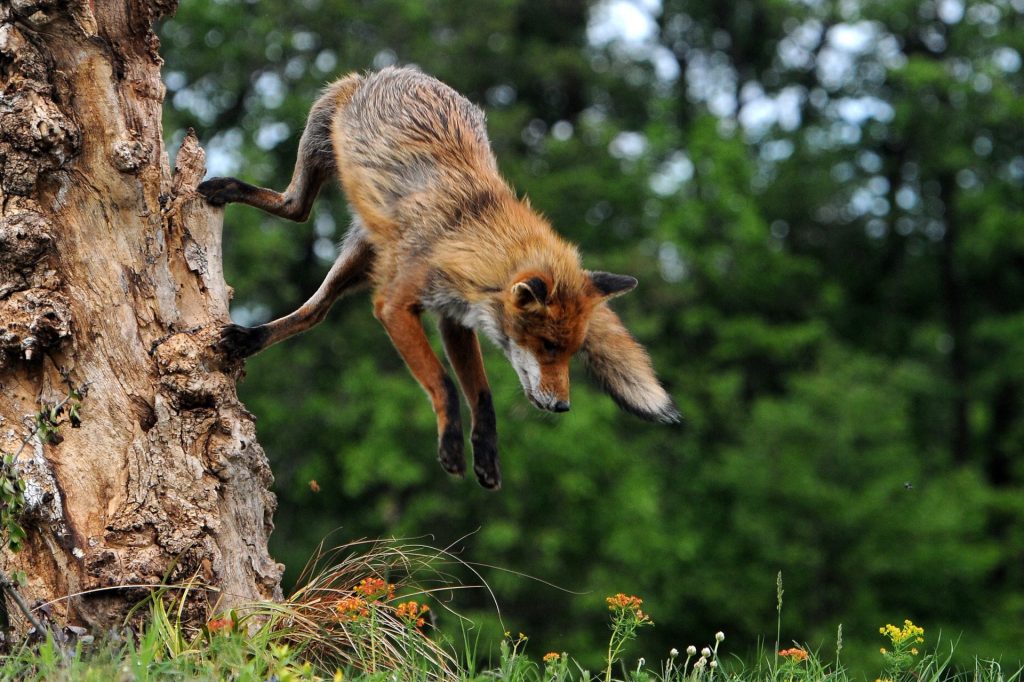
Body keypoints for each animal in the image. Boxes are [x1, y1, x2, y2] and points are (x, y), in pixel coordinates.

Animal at [198, 66, 680, 490]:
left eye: (571, 352)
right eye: (547, 347)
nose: (563, 407)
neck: (460, 229)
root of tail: (402, 71)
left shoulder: (455, 319)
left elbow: (482, 396)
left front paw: (485, 455)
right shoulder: (394, 306)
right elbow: (443, 383)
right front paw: (450, 447)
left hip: (360, 257)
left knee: (313, 310)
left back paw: (250, 338)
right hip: (323, 132)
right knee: (294, 207)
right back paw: (228, 193)